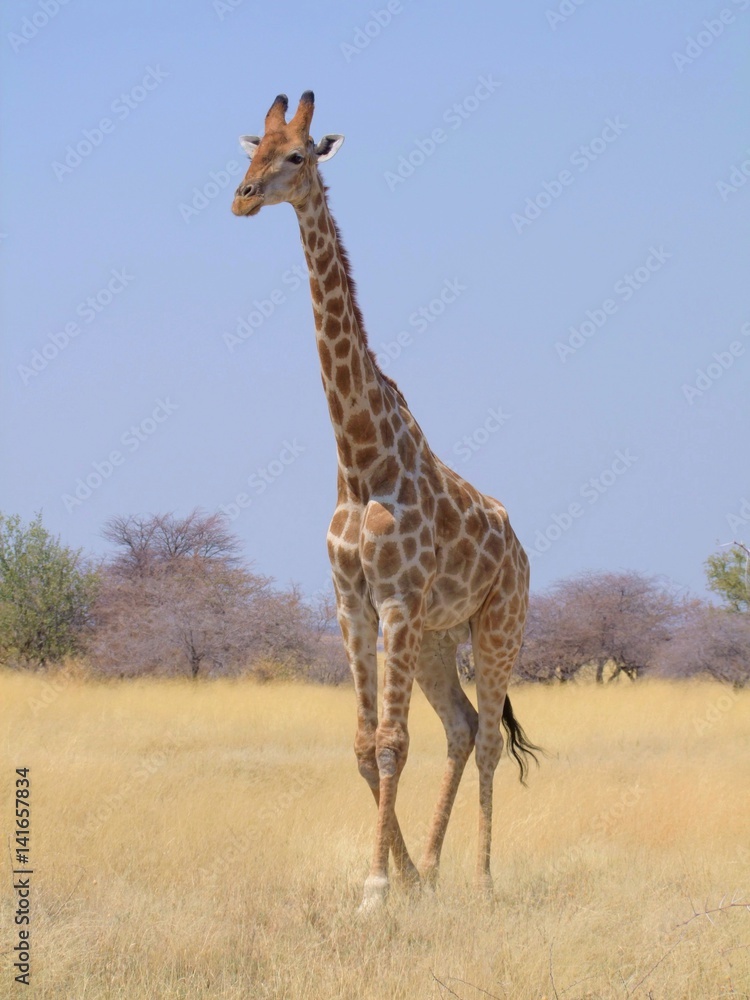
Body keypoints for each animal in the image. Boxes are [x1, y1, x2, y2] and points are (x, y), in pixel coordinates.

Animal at [231, 91, 541, 911]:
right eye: (250, 149)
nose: (243, 197)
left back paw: (483, 881)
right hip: (436, 637)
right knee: (462, 727)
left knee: (488, 737)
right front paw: (397, 878)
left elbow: (394, 744)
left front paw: (376, 887)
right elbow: (366, 746)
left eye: (296, 155)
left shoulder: (397, 598)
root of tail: (520, 548)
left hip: (499, 625)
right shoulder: (354, 602)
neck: (359, 460)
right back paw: (432, 869)